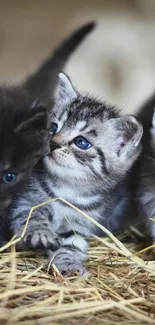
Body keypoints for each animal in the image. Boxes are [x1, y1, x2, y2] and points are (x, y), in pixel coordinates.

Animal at [9, 73, 143, 274]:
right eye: (53, 127)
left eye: (81, 142)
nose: (53, 143)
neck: (68, 188)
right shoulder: (24, 201)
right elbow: (30, 215)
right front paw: (40, 232)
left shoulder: (81, 224)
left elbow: (72, 244)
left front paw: (68, 263)